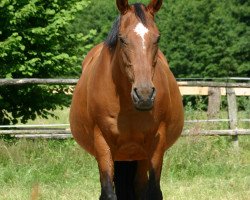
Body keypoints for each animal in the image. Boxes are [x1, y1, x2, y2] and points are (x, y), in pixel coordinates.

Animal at [70, 0, 184, 199]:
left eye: (157, 38)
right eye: (122, 39)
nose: (144, 95)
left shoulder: (157, 142)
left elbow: (153, 191)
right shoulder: (101, 142)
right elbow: (108, 193)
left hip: (140, 156)